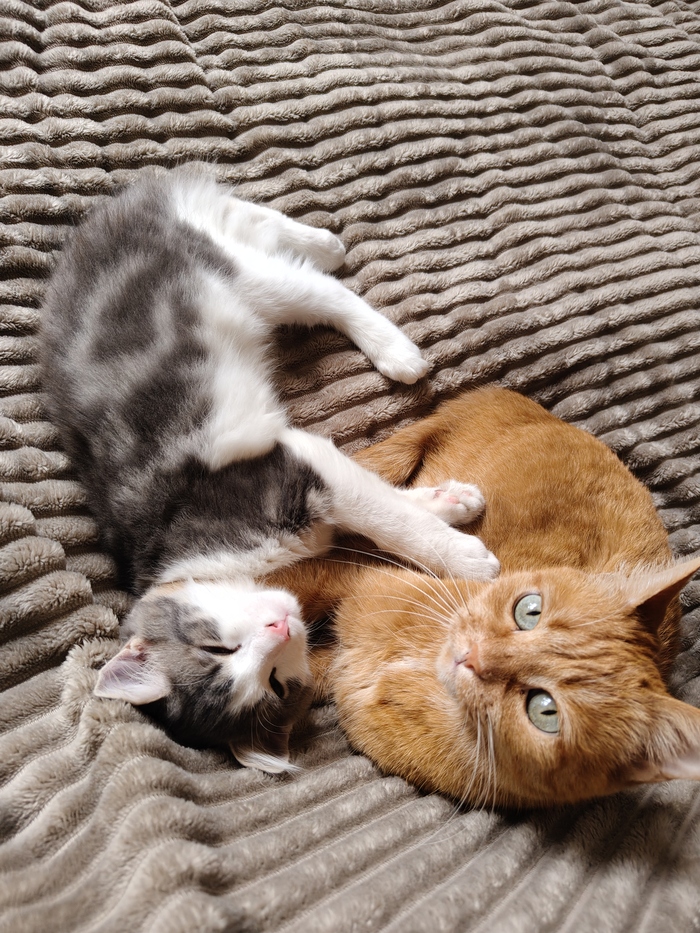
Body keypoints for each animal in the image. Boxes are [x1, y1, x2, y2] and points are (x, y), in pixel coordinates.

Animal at [39, 169, 499, 774]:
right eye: (275, 682)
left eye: (216, 647)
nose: (278, 626)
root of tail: (116, 213)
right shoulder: (312, 490)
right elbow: (383, 504)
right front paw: (452, 503)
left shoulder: (290, 469)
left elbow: (389, 519)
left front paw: (466, 559)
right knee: (254, 229)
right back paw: (321, 243)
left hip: (238, 281)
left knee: (318, 287)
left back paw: (389, 341)